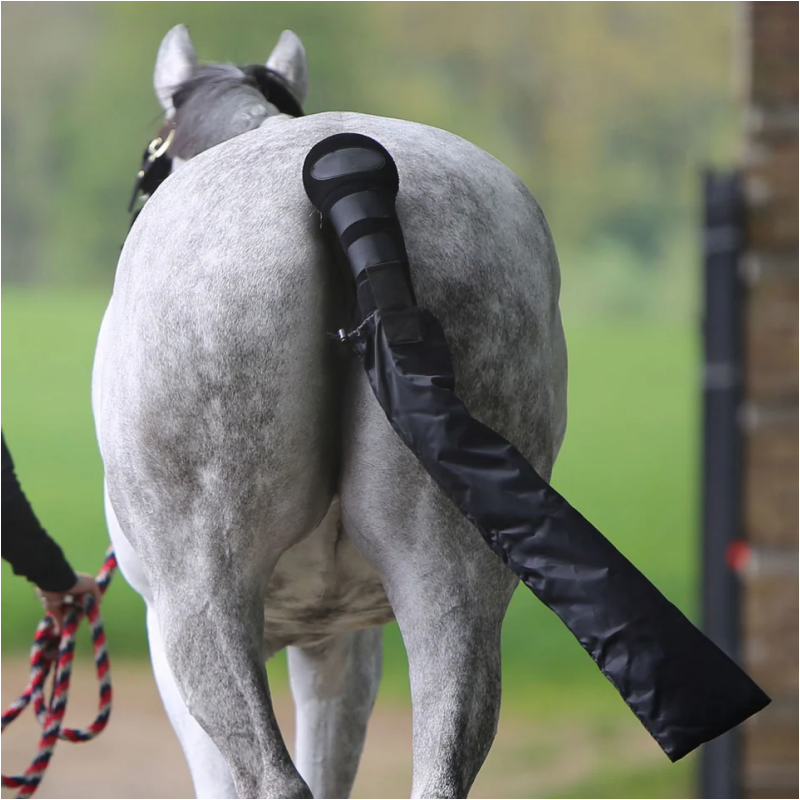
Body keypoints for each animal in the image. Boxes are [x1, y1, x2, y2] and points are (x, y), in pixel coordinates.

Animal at [92, 25, 567, 799]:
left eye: (147, 166)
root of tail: (346, 176)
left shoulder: (178, 644)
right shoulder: (343, 636)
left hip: (201, 608)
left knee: (275, 780)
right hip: (453, 584)